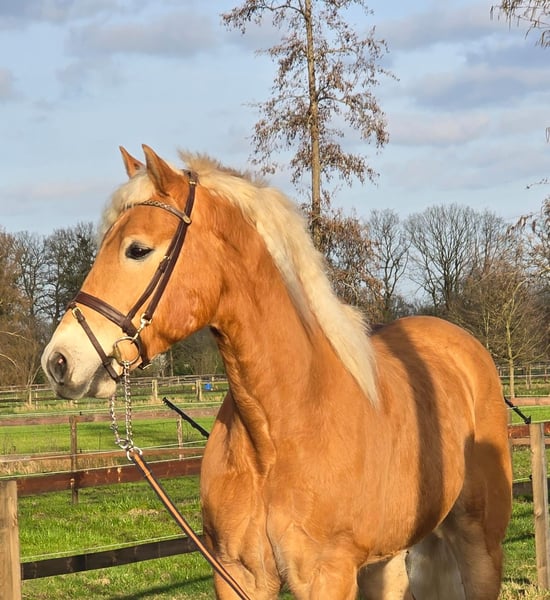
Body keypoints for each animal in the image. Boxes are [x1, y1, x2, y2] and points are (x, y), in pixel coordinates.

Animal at [42, 145, 512, 599]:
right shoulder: (238, 574)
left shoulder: (326, 577)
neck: (279, 433)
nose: (59, 360)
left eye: (137, 249)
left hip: (479, 545)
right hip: (387, 560)